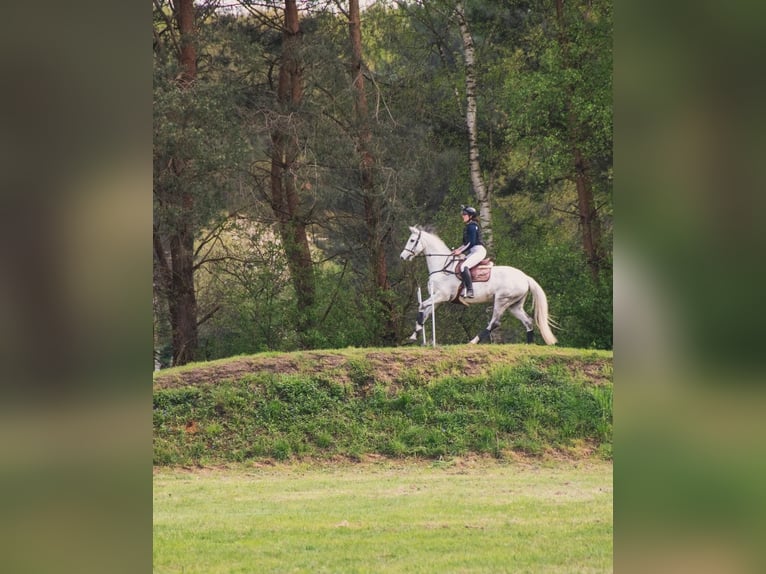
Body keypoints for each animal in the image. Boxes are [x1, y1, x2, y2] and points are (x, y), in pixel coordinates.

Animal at [399, 226, 557, 345]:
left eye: (412, 240)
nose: (402, 257)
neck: (443, 267)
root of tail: (525, 277)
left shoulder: (441, 296)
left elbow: (421, 306)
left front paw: (415, 333)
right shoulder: (438, 299)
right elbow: (426, 312)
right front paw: (415, 334)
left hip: (501, 300)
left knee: (495, 322)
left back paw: (473, 341)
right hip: (514, 305)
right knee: (528, 321)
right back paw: (529, 344)